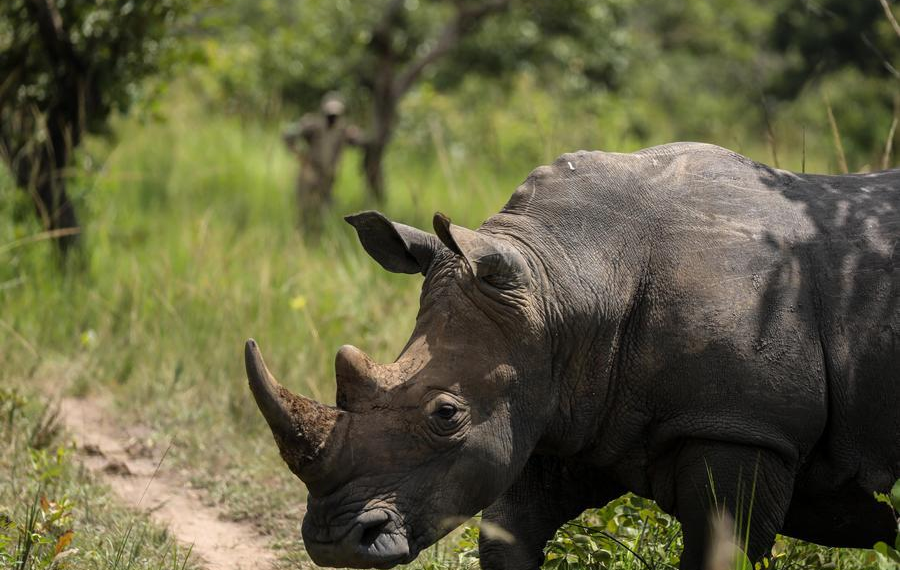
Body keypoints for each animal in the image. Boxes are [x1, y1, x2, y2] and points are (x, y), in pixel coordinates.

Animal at [245, 142, 900, 569]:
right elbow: (507, 534)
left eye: (446, 415)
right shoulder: (566, 398)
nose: (332, 542)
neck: (567, 276)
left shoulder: (742, 425)